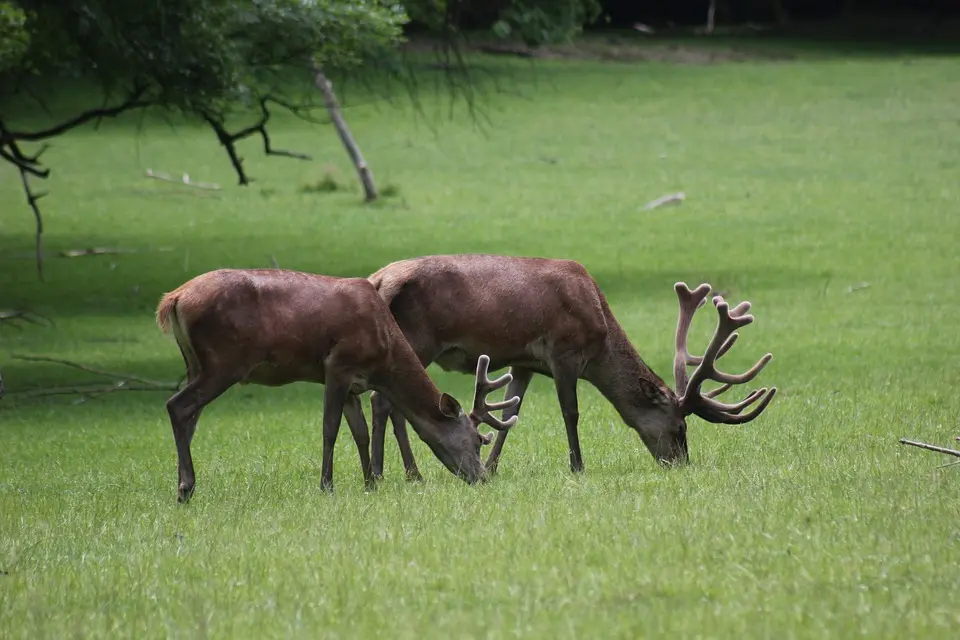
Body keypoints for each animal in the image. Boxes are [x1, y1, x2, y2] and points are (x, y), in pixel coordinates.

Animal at [158, 268, 520, 502]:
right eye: (475, 440)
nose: (481, 478)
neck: (384, 354)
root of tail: (173, 299)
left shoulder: (354, 384)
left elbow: (359, 431)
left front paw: (370, 483)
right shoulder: (337, 365)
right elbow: (329, 428)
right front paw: (327, 485)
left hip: (194, 362)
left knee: (190, 415)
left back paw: (182, 485)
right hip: (224, 360)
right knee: (178, 405)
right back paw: (186, 487)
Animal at [364, 255, 776, 480]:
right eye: (679, 428)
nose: (681, 463)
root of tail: (379, 279)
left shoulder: (524, 361)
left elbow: (510, 415)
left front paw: (493, 466)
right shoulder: (564, 352)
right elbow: (570, 412)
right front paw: (578, 466)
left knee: (392, 403)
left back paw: (401, 472)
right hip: (417, 338)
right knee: (384, 402)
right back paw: (396, 473)